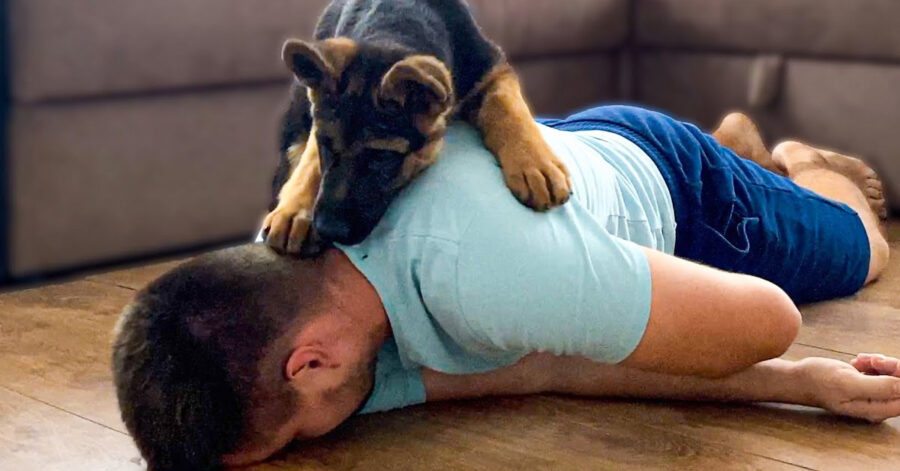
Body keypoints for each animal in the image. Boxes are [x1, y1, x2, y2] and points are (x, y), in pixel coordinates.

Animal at [264, 0, 568, 256]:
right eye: (325, 144)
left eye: (383, 157)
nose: (328, 229)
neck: (393, 25)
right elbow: (311, 158)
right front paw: (295, 208)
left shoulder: (492, 69)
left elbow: (506, 103)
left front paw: (534, 163)